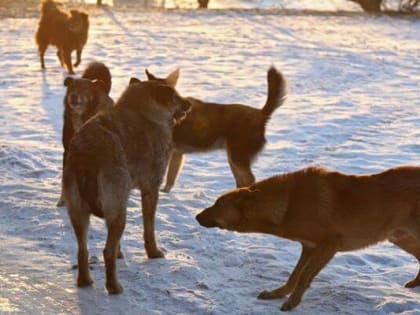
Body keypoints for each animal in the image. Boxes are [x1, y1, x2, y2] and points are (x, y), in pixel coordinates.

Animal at [63, 79, 191, 296]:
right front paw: (153, 252)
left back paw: (85, 281)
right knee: (106, 251)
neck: (145, 111)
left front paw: (121, 252)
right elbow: (149, 227)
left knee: (82, 249)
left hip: (78, 210)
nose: (189, 103)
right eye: (175, 96)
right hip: (117, 210)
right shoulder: (150, 188)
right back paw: (114, 287)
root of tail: (87, 153)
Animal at [146, 66, 288, 193]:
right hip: (233, 158)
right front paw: (166, 191)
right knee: (242, 181)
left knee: (250, 179)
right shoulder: (176, 154)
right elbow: (171, 177)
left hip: (237, 157)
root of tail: (261, 114)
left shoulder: (169, 152)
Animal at [196, 167, 420, 312]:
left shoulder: (328, 245)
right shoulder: (309, 247)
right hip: (400, 238)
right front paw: (279, 293)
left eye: (218, 204)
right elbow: (295, 275)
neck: (288, 203)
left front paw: (292, 302)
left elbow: (303, 276)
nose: (196, 216)